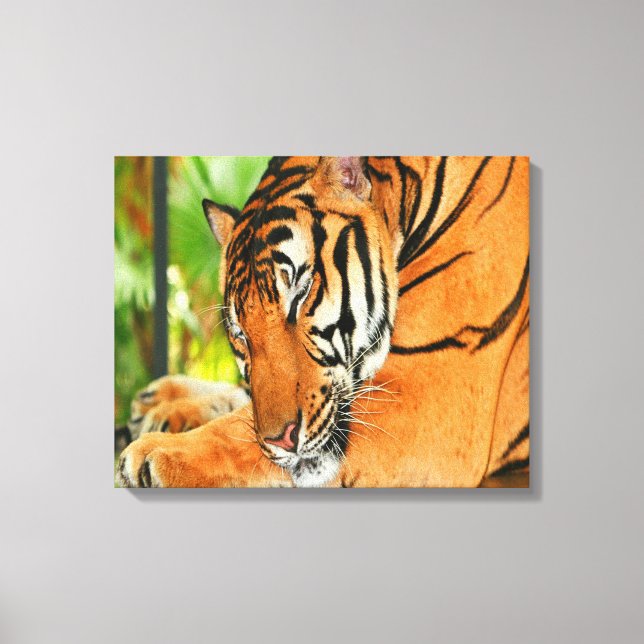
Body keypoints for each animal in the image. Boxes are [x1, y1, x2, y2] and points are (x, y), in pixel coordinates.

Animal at [116, 156, 530, 488]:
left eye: (300, 294)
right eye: (240, 334)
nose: (281, 440)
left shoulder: (424, 395)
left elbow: (236, 431)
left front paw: (156, 453)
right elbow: (244, 405)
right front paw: (164, 404)